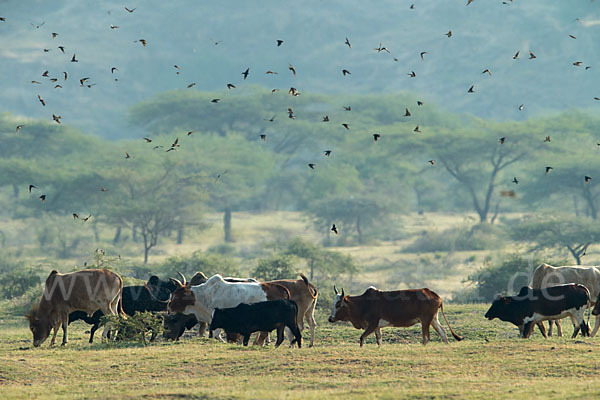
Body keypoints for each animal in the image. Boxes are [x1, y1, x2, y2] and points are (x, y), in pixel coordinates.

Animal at [328, 286, 460, 346]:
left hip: (425, 320)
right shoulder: (377, 327)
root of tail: (435, 295)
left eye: (338, 304)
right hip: (433, 320)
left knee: (426, 338)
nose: (330, 318)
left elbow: (362, 338)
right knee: (443, 333)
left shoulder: (372, 324)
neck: (364, 303)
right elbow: (379, 341)